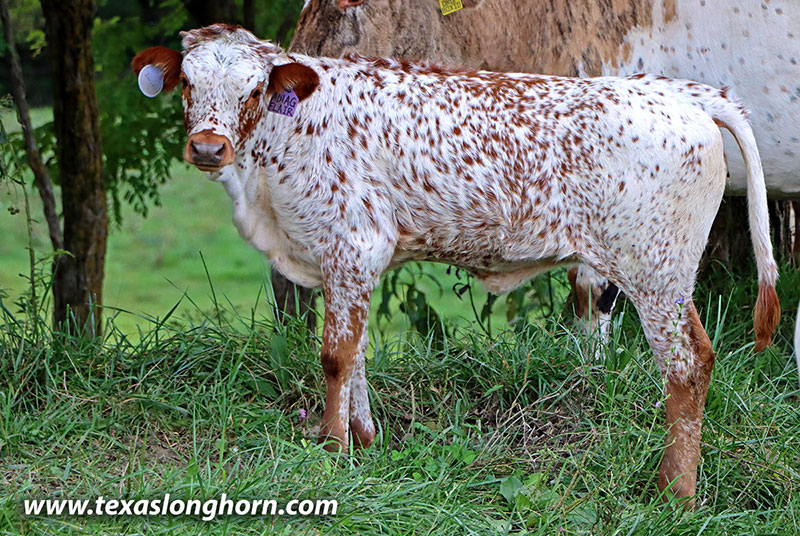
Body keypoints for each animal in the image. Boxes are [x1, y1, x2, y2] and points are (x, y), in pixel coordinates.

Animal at [133, 24, 780, 505]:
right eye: (187, 82)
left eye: (252, 89)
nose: (208, 147)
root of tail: (683, 93)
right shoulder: (351, 262)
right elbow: (358, 351)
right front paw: (365, 441)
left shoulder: (351, 245)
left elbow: (335, 357)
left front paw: (332, 450)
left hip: (656, 271)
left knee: (689, 365)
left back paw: (676, 493)